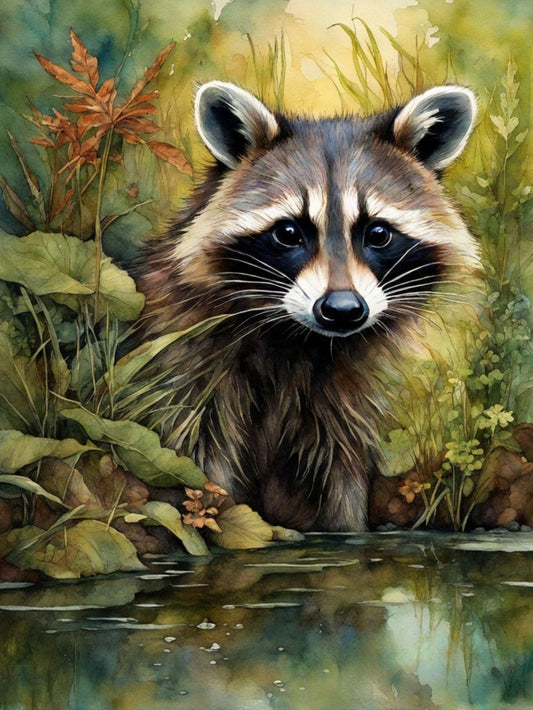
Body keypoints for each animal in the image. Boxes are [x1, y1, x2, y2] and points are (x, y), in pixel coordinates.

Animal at [136, 81, 477, 532]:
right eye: (287, 232)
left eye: (378, 233)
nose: (343, 309)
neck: (299, 338)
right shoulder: (189, 358)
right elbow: (197, 452)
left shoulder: (348, 392)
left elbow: (340, 473)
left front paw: (346, 529)